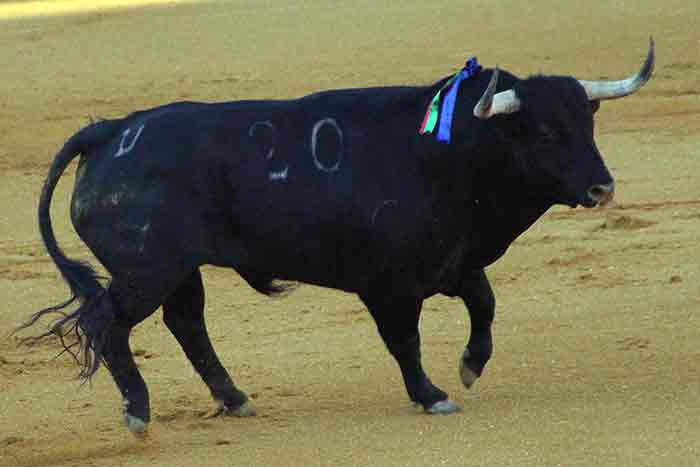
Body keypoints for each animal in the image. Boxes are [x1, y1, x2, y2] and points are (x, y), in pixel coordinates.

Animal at [21, 40, 656, 436]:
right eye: (545, 131)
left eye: (588, 122)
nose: (602, 187)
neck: (448, 155)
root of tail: (112, 131)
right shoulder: (388, 285)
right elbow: (405, 341)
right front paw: (432, 394)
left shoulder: (452, 263)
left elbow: (485, 304)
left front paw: (470, 366)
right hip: (145, 272)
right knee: (109, 325)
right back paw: (138, 411)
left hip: (179, 271)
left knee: (186, 324)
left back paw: (235, 400)